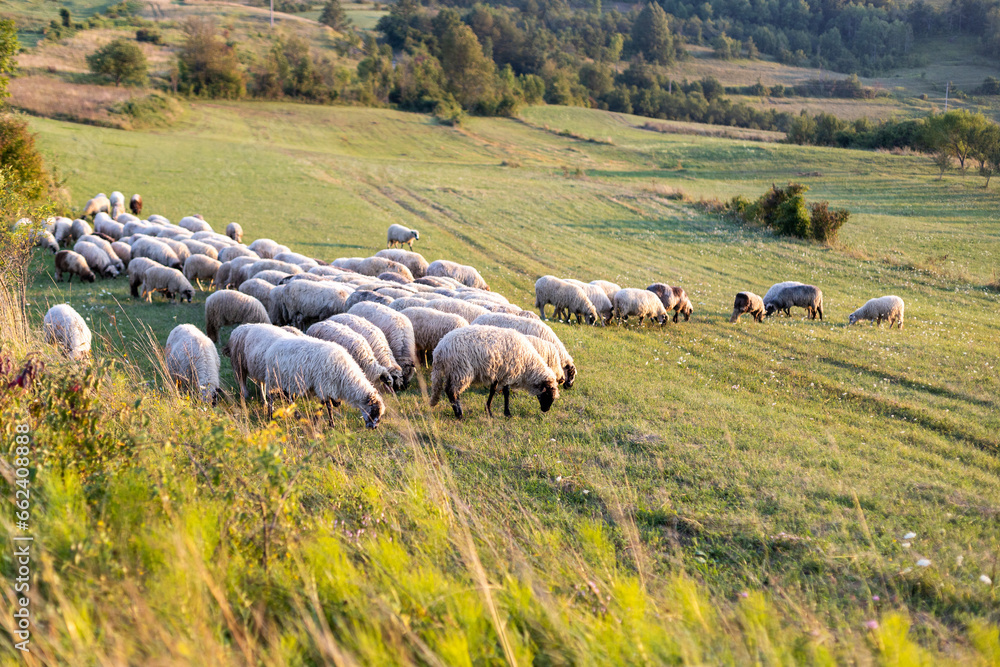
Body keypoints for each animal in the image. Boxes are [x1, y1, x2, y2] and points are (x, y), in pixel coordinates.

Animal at [430, 325, 558, 419]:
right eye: (547, 394)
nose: (545, 410)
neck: (528, 364)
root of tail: (439, 350)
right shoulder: (508, 373)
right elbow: (506, 392)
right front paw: (507, 413)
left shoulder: (498, 372)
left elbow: (492, 390)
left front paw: (488, 410)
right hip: (460, 370)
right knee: (452, 392)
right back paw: (460, 415)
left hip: (451, 372)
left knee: (448, 389)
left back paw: (457, 412)